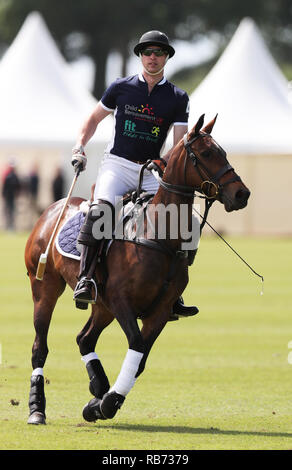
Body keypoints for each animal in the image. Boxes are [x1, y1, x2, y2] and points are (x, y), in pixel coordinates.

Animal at [24, 114, 251, 426]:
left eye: (224, 152)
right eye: (206, 153)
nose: (242, 194)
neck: (159, 235)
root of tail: (52, 209)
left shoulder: (160, 311)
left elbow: (140, 358)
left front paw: (99, 403)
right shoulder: (122, 301)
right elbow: (137, 344)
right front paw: (108, 403)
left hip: (102, 306)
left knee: (84, 338)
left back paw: (98, 387)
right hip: (44, 288)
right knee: (39, 347)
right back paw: (37, 409)